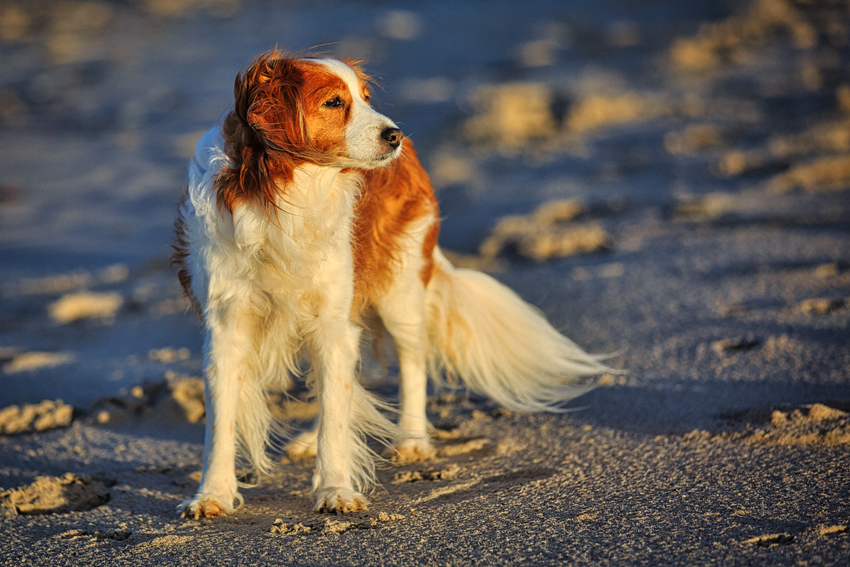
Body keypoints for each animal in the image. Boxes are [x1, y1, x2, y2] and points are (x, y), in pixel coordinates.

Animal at [172, 50, 608, 520]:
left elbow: (337, 411)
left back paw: (412, 441)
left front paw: (336, 489)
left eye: (365, 98)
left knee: (411, 362)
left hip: (399, 295)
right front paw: (212, 494)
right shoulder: (227, 325)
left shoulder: (332, 316)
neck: (287, 194)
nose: (394, 134)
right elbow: (223, 420)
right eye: (333, 102)